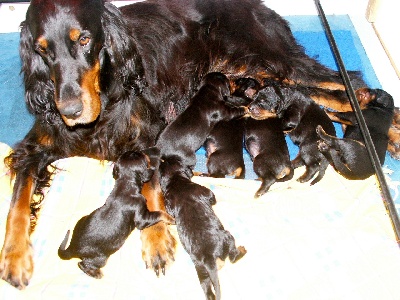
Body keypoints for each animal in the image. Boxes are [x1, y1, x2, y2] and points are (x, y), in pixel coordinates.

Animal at [58, 150, 175, 278]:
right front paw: (171, 218)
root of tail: (73, 247)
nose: (144, 151)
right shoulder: (142, 217)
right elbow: (158, 214)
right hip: (99, 258)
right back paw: (96, 274)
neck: (125, 185)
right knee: (82, 264)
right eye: (142, 156)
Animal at [159, 155, 247, 300]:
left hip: (200, 269)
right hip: (227, 236)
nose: (163, 157)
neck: (176, 180)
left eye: (164, 164)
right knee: (233, 257)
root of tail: (208, 257)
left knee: (207, 288)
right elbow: (213, 197)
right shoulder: (205, 192)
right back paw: (241, 250)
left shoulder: (169, 204)